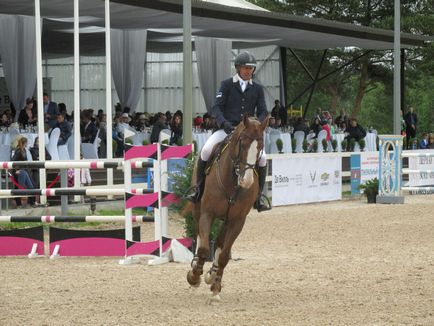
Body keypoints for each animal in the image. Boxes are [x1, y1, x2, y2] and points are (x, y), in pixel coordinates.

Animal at [187, 115, 270, 304]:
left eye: (260, 146)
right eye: (242, 144)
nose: (247, 182)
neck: (232, 181)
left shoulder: (237, 221)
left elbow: (224, 255)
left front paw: (216, 288)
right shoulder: (207, 214)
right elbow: (204, 248)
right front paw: (194, 276)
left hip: (226, 220)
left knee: (219, 242)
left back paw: (212, 274)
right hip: (197, 209)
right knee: (198, 234)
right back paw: (197, 267)